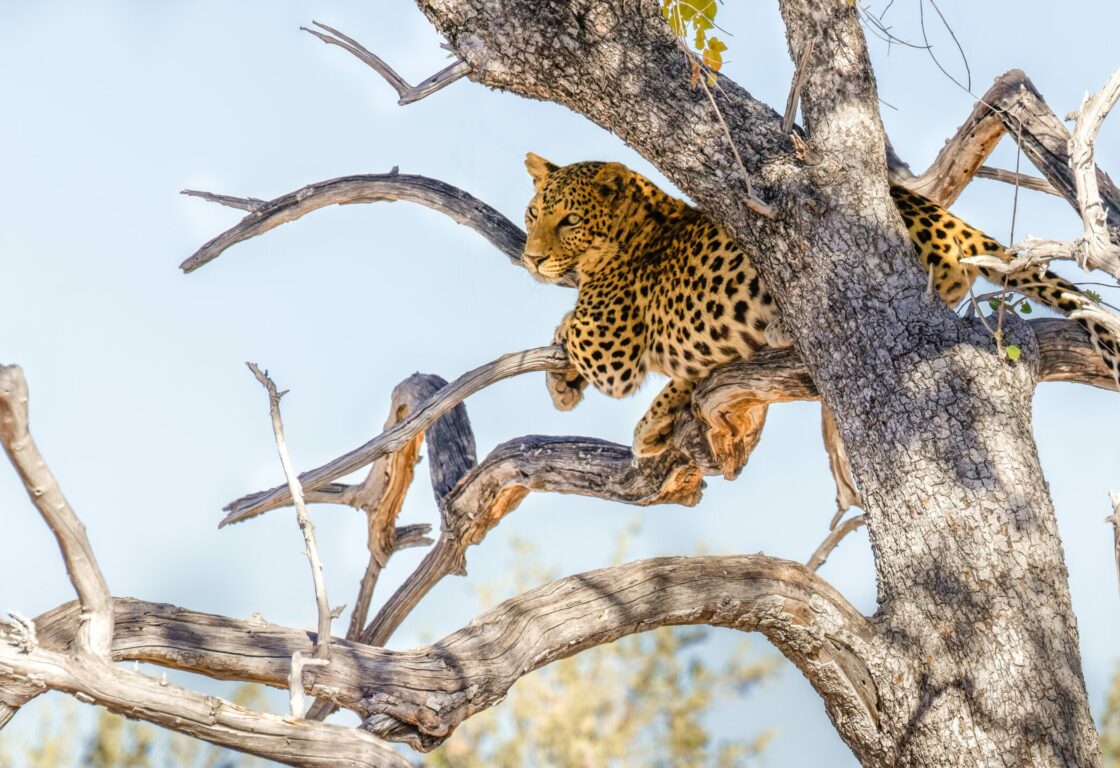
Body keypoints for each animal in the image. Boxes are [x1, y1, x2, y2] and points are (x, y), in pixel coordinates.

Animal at [522, 152, 1120, 457]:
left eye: (568, 221)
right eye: (532, 214)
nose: (529, 258)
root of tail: (942, 216)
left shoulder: (612, 351)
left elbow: (568, 325)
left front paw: (564, 376)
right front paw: (641, 416)